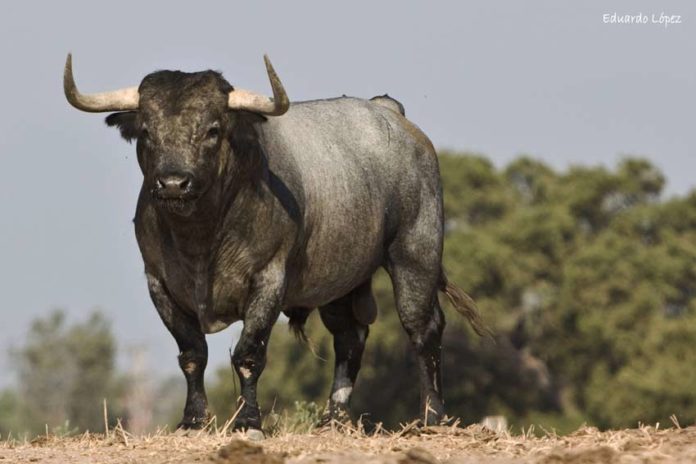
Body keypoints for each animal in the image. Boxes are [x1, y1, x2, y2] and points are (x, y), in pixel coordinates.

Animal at [65, 54, 490, 436]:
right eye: (148, 131)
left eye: (213, 130)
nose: (173, 183)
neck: (200, 240)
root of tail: (388, 111)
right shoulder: (160, 284)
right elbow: (192, 355)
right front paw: (193, 422)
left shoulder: (268, 279)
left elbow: (249, 354)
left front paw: (249, 423)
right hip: (342, 279)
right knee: (350, 337)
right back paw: (333, 420)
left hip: (415, 253)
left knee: (423, 329)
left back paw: (431, 417)